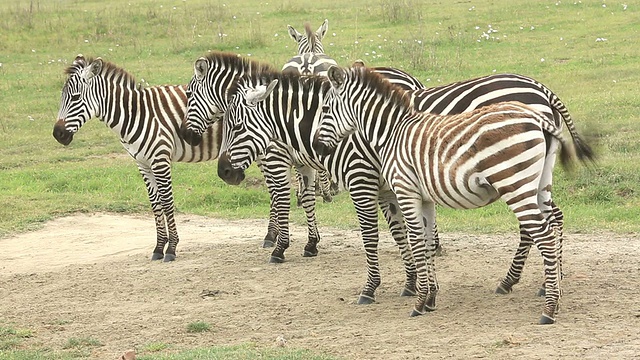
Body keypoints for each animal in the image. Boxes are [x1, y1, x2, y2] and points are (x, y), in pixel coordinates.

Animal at [50, 54, 221, 262]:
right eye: (61, 97)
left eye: (75, 98)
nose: (58, 134)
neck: (135, 114)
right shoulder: (143, 163)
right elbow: (155, 204)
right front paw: (159, 248)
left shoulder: (160, 160)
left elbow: (167, 202)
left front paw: (171, 249)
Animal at [316, 66, 596, 324]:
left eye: (325, 109)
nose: (318, 146)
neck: (392, 132)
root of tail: (540, 105)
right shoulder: (424, 197)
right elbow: (428, 242)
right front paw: (430, 298)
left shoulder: (402, 190)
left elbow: (414, 242)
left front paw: (416, 301)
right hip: (539, 183)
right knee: (552, 221)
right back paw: (550, 291)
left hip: (514, 183)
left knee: (542, 234)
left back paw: (547, 308)